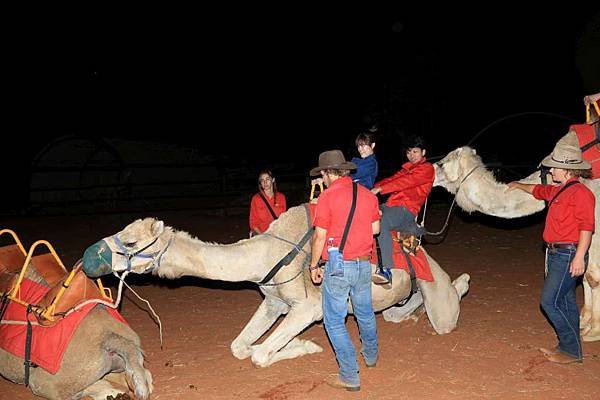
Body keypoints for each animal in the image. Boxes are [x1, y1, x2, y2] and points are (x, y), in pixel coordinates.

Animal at [82, 205, 472, 368]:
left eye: (131, 242)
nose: (88, 257)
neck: (268, 253)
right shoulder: (273, 302)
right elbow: (239, 347)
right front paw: (291, 345)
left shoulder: (307, 307)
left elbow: (258, 354)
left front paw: (304, 346)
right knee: (395, 312)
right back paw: (410, 313)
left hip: (438, 299)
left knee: (446, 309)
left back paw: (462, 282)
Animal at [434, 145, 600, 342]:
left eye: (442, 164)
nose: (430, 171)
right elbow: (584, 275)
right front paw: (583, 322)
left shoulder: (594, 233)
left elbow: (593, 278)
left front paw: (593, 332)